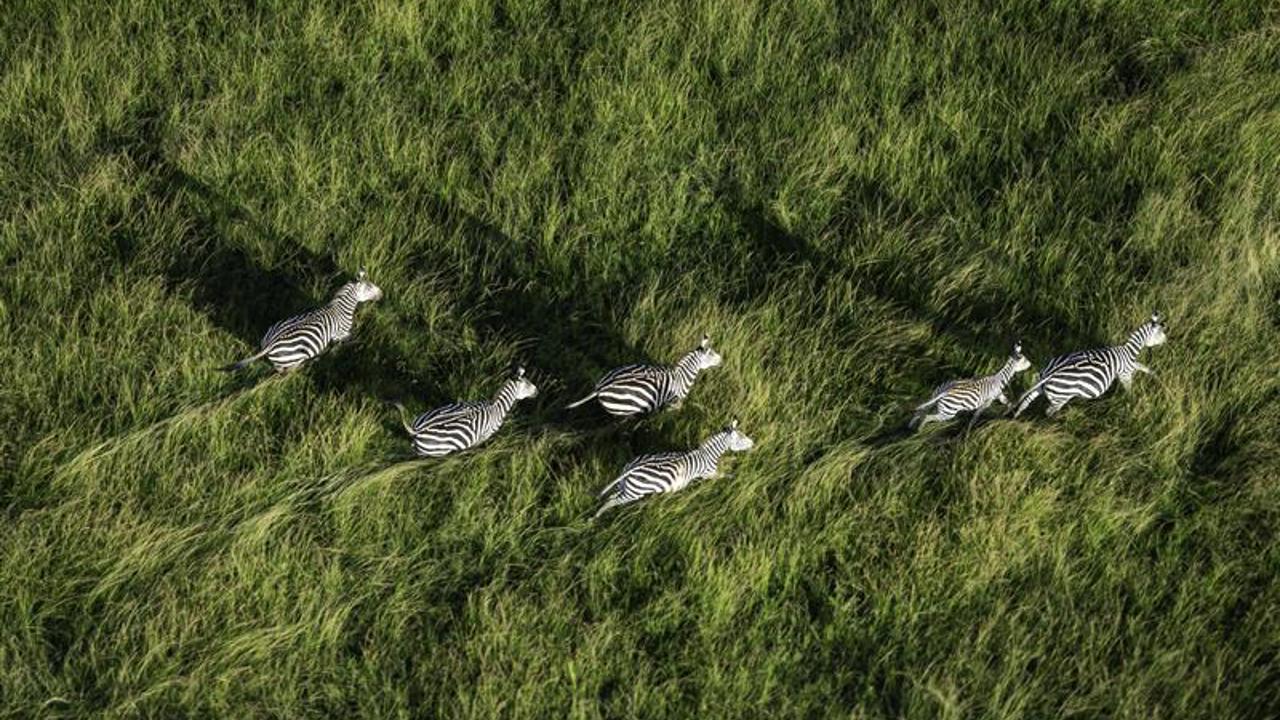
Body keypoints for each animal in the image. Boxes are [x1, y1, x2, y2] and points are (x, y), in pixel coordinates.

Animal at [221, 269, 383, 372]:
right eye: (369, 287)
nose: (382, 294)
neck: (341, 308)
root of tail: (270, 344)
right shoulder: (340, 333)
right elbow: (351, 337)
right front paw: (355, 344)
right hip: (296, 356)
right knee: (288, 371)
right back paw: (307, 366)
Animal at [395, 366, 539, 457]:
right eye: (528, 384)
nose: (538, 391)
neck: (497, 407)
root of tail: (417, 430)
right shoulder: (483, 436)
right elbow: (474, 450)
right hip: (438, 451)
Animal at [566, 334, 722, 417]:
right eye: (712, 354)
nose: (722, 359)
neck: (682, 377)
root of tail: (601, 387)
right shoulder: (672, 402)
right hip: (625, 408)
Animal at [595, 419, 754, 518]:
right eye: (741, 439)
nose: (753, 444)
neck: (707, 454)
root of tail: (632, 468)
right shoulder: (708, 473)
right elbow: (723, 475)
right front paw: (735, 477)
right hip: (634, 492)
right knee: (613, 501)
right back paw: (596, 517)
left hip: (626, 486)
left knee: (612, 497)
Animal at [1013, 313, 1167, 418]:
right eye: (1160, 334)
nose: (1167, 341)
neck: (1128, 351)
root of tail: (1050, 373)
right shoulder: (1125, 373)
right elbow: (1130, 387)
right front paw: (1132, 400)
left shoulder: (1130, 365)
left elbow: (1145, 368)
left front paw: (1158, 378)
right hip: (1060, 398)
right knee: (1048, 412)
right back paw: (1054, 424)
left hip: (1040, 386)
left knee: (1026, 401)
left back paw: (1016, 417)